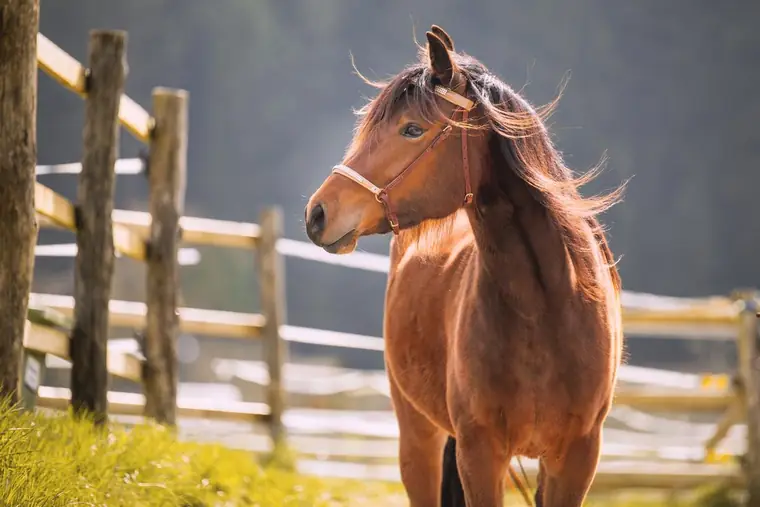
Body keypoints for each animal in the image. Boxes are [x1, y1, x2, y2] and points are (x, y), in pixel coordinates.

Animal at [304, 25, 624, 507]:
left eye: (412, 129)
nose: (318, 213)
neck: (546, 310)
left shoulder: (576, 459)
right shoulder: (479, 454)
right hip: (418, 438)